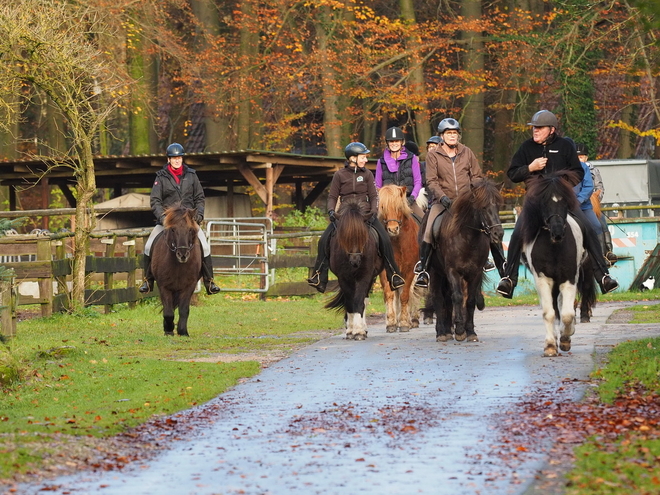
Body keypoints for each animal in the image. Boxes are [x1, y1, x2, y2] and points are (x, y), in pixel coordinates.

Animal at [151, 204, 202, 338]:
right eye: (173, 229)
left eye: (190, 230)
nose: (183, 255)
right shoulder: (163, 286)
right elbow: (168, 311)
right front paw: (169, 330)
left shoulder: (189, 285)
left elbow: (184, 310)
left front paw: (183, 331)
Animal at [376, 185, 422, 334]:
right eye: (382, 207)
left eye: (398, 207)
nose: (392, 229)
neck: (397, 241)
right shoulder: (386, 271)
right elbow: (389, 294)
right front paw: (391, 322)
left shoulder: (409, 270)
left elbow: (405, 295)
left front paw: (404, 323)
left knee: (415, 292)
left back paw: (413, 319)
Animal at [426, 180, 502, 342]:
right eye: (483, 207)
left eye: (498, 206)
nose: (498, 233)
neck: (467, 238)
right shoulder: (453, 271)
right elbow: (458, 297)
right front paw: (460, 330)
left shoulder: (475, 273)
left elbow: (470, 300)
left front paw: (470, 331)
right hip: (435, 273)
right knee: (438, 298)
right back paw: (441, 332)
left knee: (448, 299)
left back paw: (448, 330)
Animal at [520, 172, 600, 358]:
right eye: (544, 203)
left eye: (565, 203)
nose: (557, 232)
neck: (553, 248)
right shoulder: (543, 280)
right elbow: (549, 313)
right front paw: (550, 345)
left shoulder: (569, 278)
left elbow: (568, 314)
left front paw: (565, 338)